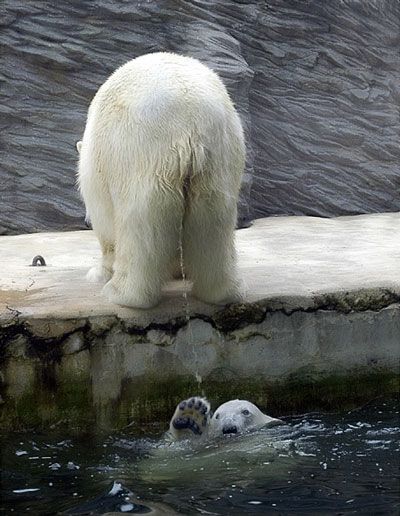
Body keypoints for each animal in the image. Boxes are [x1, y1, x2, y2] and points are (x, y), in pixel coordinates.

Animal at [75, 52, 244, 308]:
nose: (84, 221)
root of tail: (190, 123)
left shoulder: (100, 167)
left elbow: (105, 225)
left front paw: (98, 273)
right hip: (220, 157)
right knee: (213, 222)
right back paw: (220, 291)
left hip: (139, 153)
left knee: (140, 225)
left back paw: (122, 293)